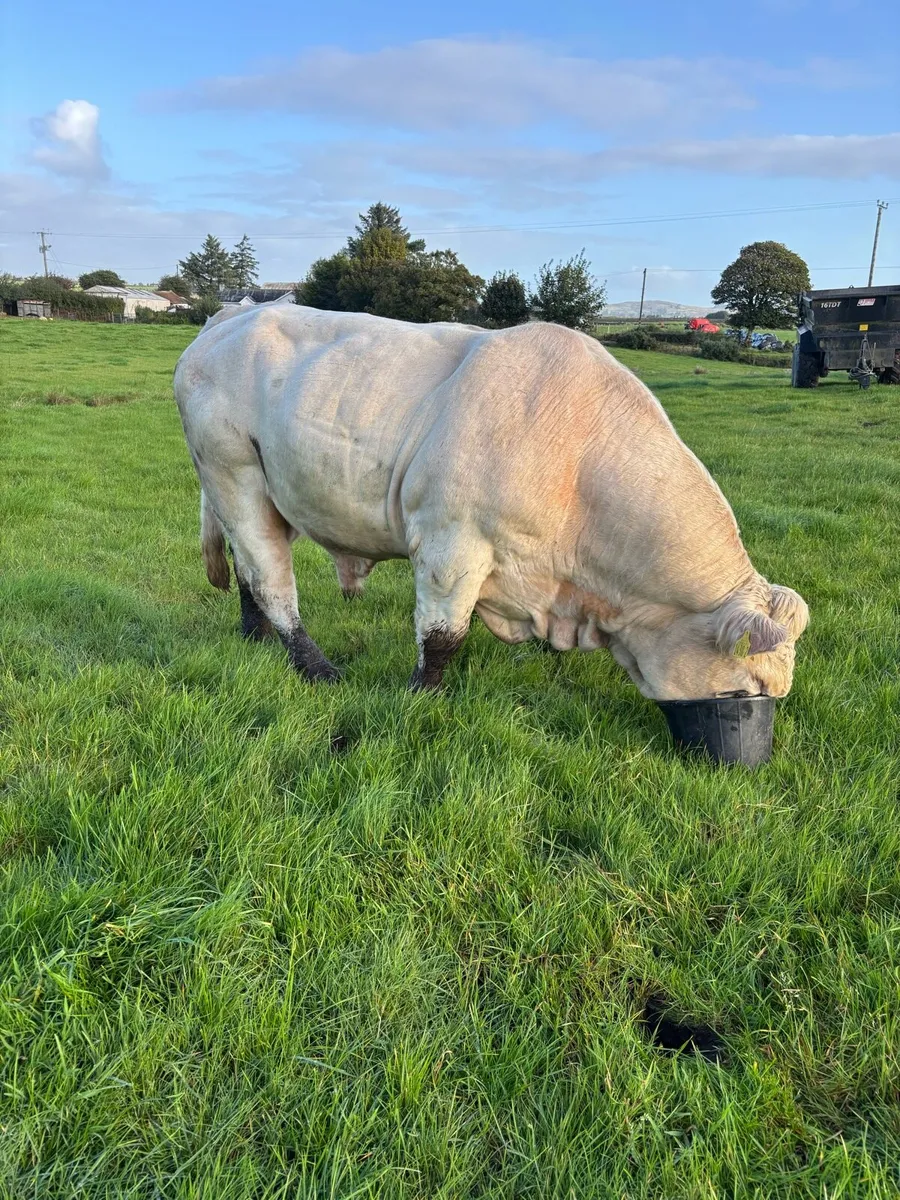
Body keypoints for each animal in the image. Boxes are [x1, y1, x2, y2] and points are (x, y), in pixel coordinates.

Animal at [173, 305, 808, 700]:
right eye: (750, 688)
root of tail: (232, 315)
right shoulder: (451, 544)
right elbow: (441, 637)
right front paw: (419, 698)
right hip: (233, 475)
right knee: (270, 578)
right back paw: (317, 669)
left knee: (247, 568)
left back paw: (254, 637)